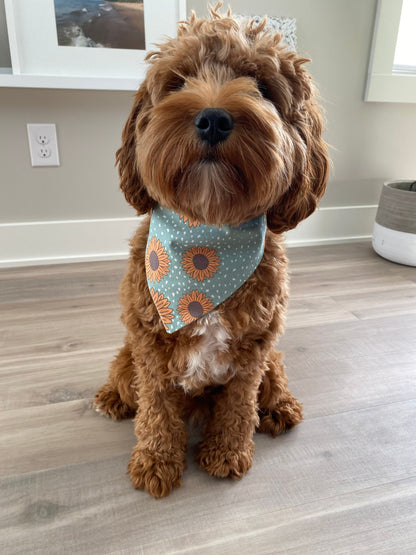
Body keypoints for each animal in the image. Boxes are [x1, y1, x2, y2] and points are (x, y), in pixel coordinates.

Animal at [93, 4, 328, 500]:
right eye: (178, 81)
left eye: (262, 86)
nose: (214, 119)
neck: (207, 243)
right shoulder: (149, 346)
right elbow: (156, 409)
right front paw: (156, 460)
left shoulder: (253, 351)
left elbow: (239, 405)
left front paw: (227, 452)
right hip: (127, 357)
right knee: (124, 378)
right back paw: (111, 397)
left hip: (272, 358)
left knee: (274, 381)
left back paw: (280, 407)